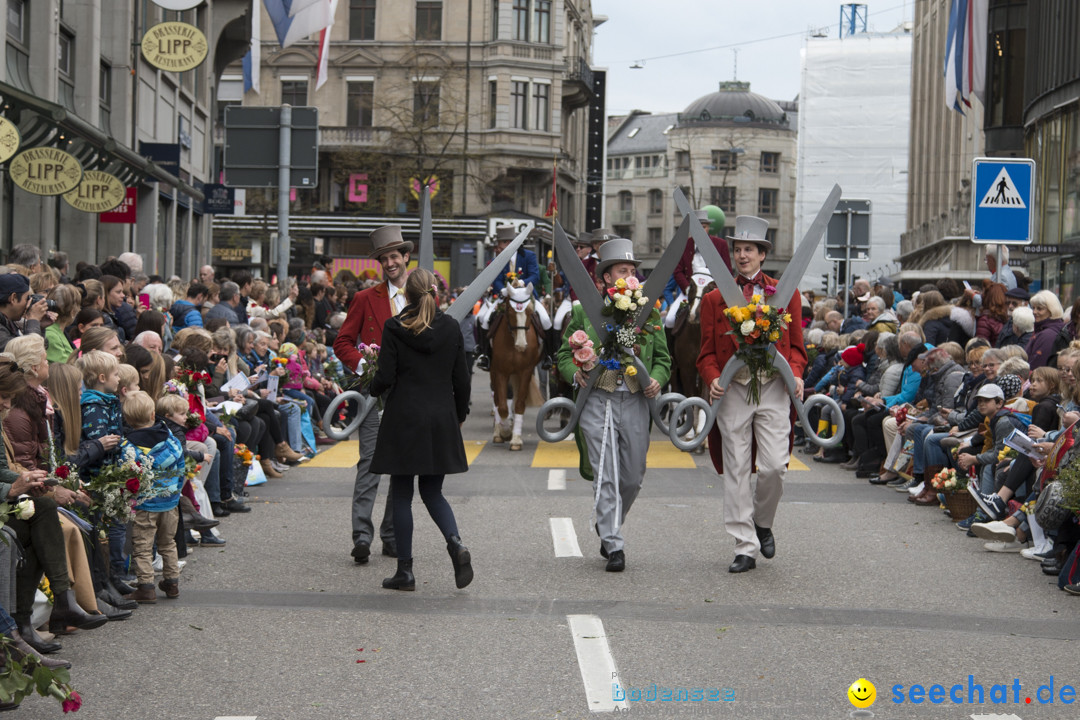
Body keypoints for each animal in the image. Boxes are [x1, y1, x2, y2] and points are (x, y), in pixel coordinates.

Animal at [490, 282, 544, 446]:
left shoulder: (526, 371)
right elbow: (502, 406)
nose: (521, 345)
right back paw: (498, 431)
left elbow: (519, 404)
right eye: (509, 310)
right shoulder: (500, 372)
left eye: (530, 311)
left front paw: (516, 439)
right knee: (497, 400)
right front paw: (506, 432)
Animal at [665, 276, 717, 451]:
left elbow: (704, 396)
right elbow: (689, 396)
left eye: (710, 288)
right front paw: (691, 433)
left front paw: (702, 434)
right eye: (692, 286)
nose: (694, 315)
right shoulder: (687, 368)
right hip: (675, 370)